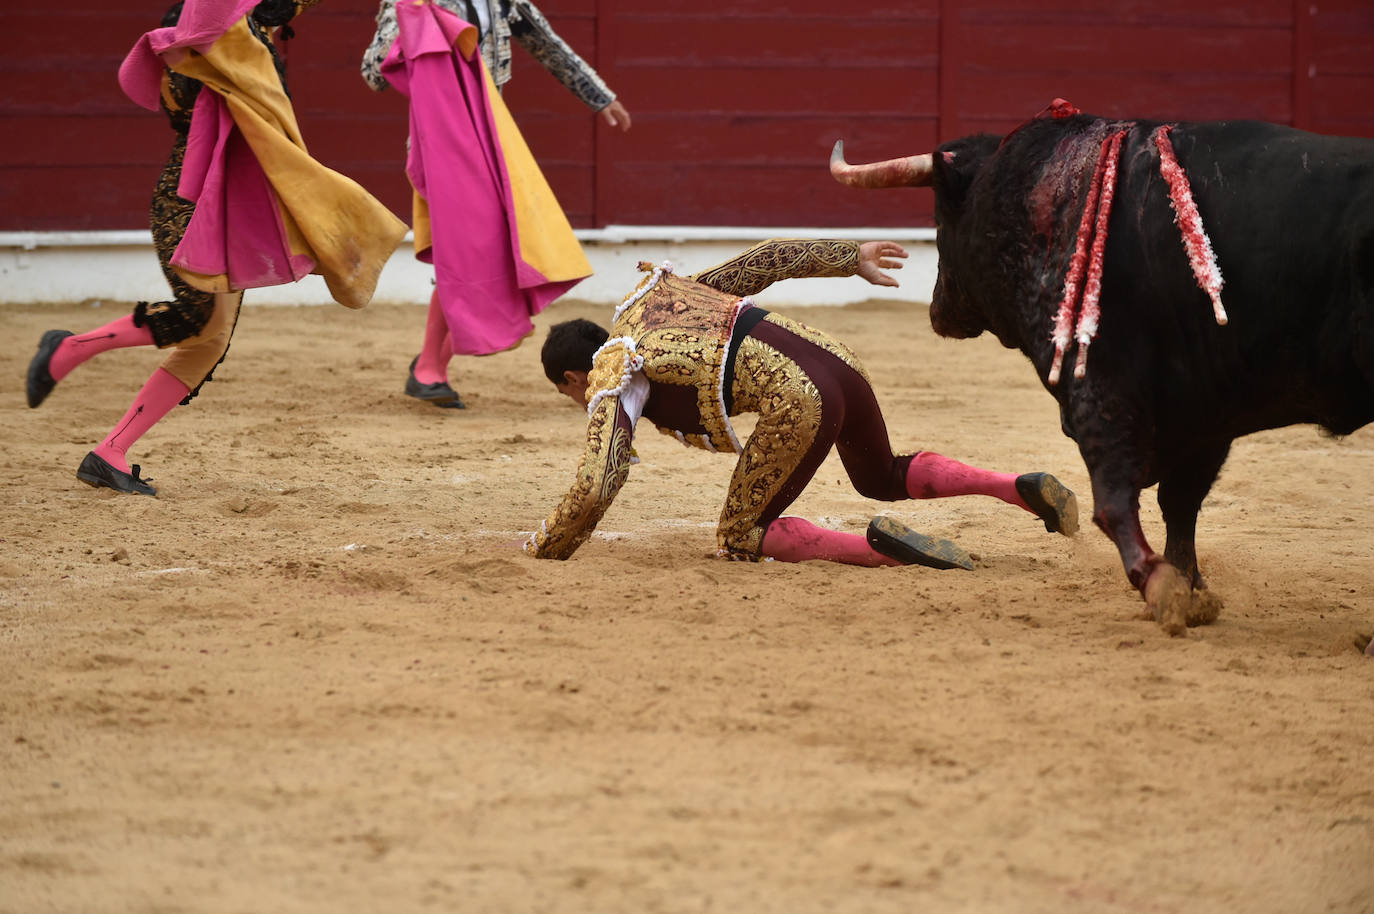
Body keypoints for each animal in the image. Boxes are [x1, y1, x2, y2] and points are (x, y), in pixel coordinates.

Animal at [824, 112, 1374, 634]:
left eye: (940, 217)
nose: (938, 309)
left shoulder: (1102, 382)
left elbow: (1117, 495)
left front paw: (1162, 586)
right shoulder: (1205, 408)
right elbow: (1180, 501)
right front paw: (1189, 589)